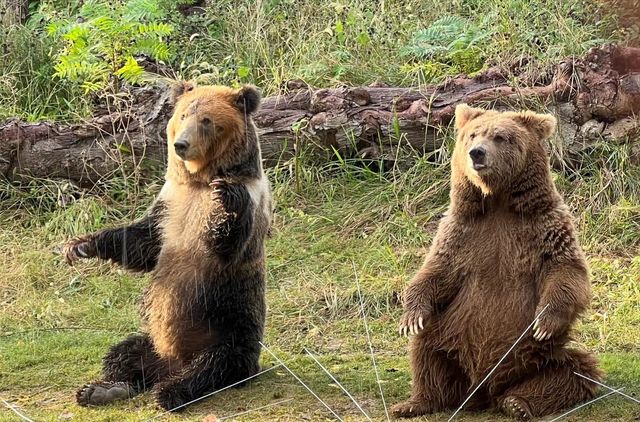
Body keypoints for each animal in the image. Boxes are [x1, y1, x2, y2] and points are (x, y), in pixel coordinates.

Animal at [64, 82, 272, 412]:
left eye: (207, 121)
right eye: (183, 114)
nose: (181, 145)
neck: (200, 181)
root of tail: (171, 364)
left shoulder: (253, 199)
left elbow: (228, 243)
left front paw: (227, 200)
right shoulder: (170, 202)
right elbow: (143, 242)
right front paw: (80, 245)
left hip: (229, 327)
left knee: (217, 365)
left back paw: (172, 391)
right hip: (153, 340)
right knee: (123, 353)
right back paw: (102, 389)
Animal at [392, 104, 604, 420]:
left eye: (500, 136)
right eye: (472, 135)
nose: (477, 153)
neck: (498, 201)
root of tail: (482, 391)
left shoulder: (546, 227)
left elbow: (565, 271)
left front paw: (544, 322)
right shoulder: (461, 232)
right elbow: (436, 271)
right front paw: (410, 317)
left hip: (541, 356)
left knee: (574, 373)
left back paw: (518, 403)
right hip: (447, 334)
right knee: (426, 352)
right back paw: (414, 403)